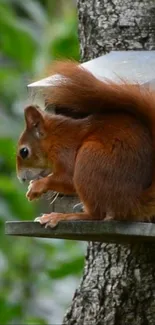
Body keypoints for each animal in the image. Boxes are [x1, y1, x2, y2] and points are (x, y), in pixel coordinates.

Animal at [15, 61, 155, 228]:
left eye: (24, 152)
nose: (21, 179)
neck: (55, 138)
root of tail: (133, 201)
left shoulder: (65, 151)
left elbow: (67, 179)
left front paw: (37, 186)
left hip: (89, 159)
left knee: (96, 215)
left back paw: (61, 216)